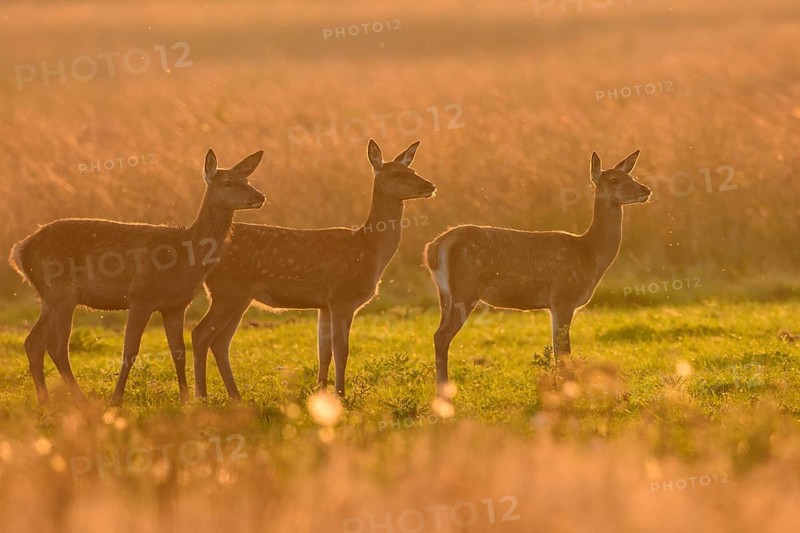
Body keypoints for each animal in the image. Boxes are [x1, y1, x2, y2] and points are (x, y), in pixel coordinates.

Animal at [8, 149, 266, 405]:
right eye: (228, 182)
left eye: (247, 180)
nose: (260, 196)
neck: (185, 254)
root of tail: (19, 250)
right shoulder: (140, 296)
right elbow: (130, 350)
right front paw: (116, 399)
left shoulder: (176, 305)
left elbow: (179, 351)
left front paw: (185, 400)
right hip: (59, 293)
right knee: (48, 344)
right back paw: (68, 399)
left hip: (54, 297)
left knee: (42, 344)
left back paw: (51, 399)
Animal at [191, 139, 436, 400]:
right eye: (397, 174)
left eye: (413, 170)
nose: (430, 185)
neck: (368, 249)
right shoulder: (342, 297)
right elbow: (341, 351)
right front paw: (341, 395)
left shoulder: (325, 305)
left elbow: (324, 352)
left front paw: (321, 392)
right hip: (228, 292)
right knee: (201, 334)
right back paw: (202, 397)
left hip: (238, 297)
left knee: (220, 341)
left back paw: (235, 396)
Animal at [424, 150, 651, 396]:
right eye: (614, 179)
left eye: (631, 176)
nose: (645, 190)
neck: (590, 254)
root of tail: (434, 247)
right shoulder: (563, 297)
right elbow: (562, 352)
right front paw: (567, 391)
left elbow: (559, 350)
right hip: (465, 288)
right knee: (442, 336)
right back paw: (444, 393)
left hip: (445, 294)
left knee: (438, 334)